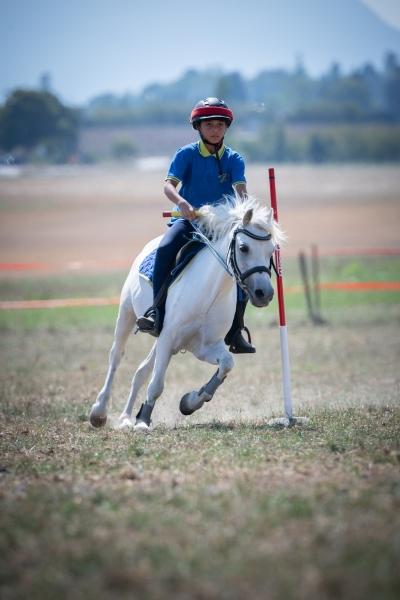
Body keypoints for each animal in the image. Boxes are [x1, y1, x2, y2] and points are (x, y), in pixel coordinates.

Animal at [89, 195, 286, 428]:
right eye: (244, 248)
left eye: (272, 250)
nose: (264, 293)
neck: (209, 294)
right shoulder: (168, 338)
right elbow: (156, 384)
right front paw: (143, 420)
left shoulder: (203, 346)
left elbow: (227, 365)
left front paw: (190, 402)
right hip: (127, 314)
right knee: (116, 357)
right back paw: (99, 412)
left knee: (141, 371)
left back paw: (126, 418)